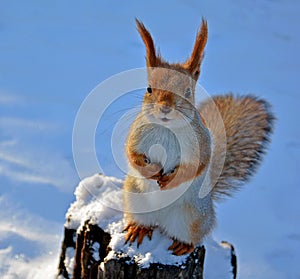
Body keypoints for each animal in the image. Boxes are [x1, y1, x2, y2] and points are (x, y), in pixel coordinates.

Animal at [122, 19, 274, 256]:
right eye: (149, 89)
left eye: (187, 92)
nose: (165, 107)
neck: (167, 128)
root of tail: (161, 221)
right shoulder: (137, 134)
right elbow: (132, 154)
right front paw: (152, 169)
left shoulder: (201, 144)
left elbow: (197, 165)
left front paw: (171, 179)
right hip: (135, 200)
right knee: (144, 221)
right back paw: (138, 228)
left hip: (193, 218)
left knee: (193, 237)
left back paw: (183, 245)